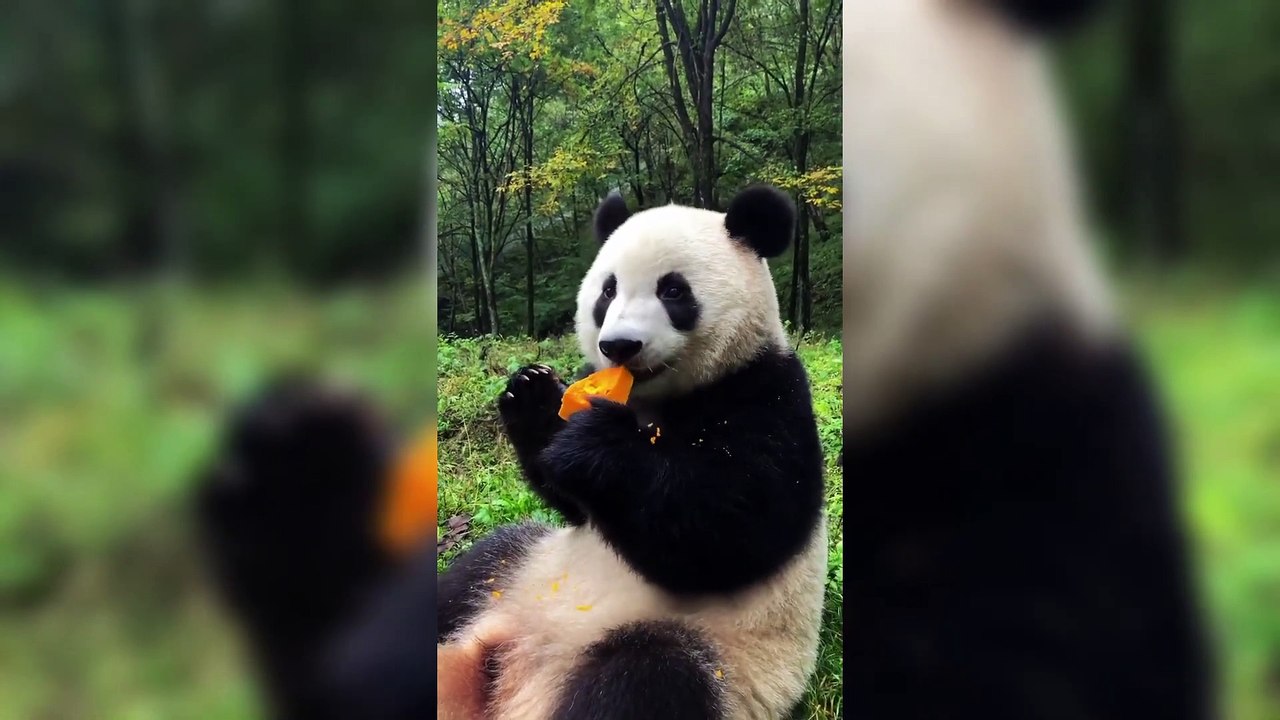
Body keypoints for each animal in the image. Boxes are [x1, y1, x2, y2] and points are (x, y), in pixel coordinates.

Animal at [435, 184, 829, 719]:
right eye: (608, 291)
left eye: (673, 291)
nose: (619, 346)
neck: (652, 399)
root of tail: (514, 687)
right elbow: (574, 505)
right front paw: (533, 394)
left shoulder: (766, 393)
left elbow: (729, 529)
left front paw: (595, 440)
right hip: (514, 573)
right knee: (473, 570)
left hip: (714, 657)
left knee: (645, 676)